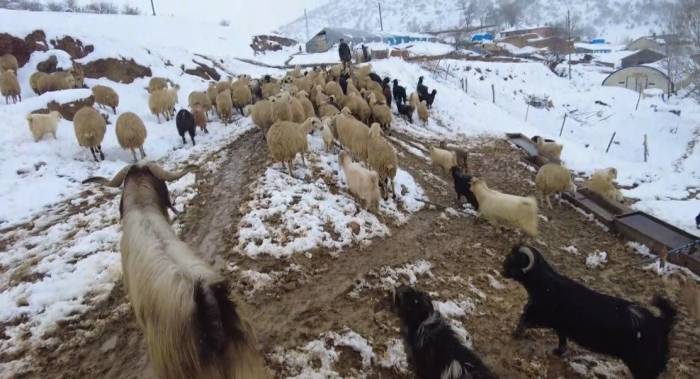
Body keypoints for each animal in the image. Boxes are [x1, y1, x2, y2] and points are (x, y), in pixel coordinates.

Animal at [504, 246, 680, 379]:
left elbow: (525, 319)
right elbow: (561, 339)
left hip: (644, 367)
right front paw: (559, 352)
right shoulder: (560, 326)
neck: (545, 285)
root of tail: (662, 323)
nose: (502, 269)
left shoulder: (544, 316)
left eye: (513, 260)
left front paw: (516, 333)